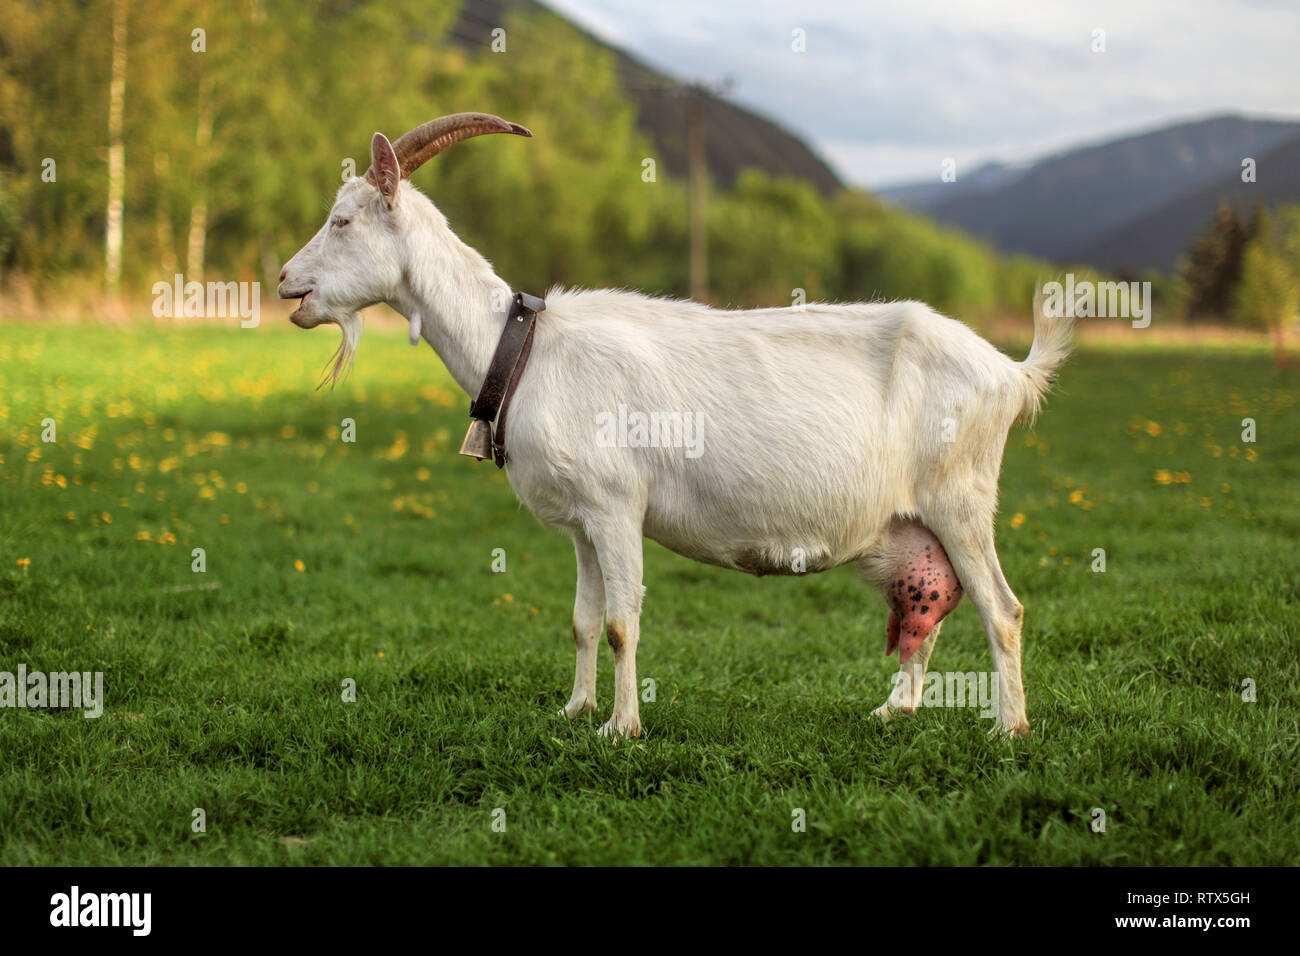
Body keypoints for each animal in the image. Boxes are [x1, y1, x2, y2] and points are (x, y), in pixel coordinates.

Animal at [278, 113, 1072, 738]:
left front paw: (621, 729)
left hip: (960, 499)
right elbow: (583, 620)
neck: (525, 349)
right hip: (913, 526)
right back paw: (895, 710)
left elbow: (623, 621)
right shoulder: (582, 523)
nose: (286, 282)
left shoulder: (616, 506)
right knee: (930, 609)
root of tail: (1010, 372)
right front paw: (574, 711)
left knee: (1002, 609)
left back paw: (1009, 729)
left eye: (342, 221)